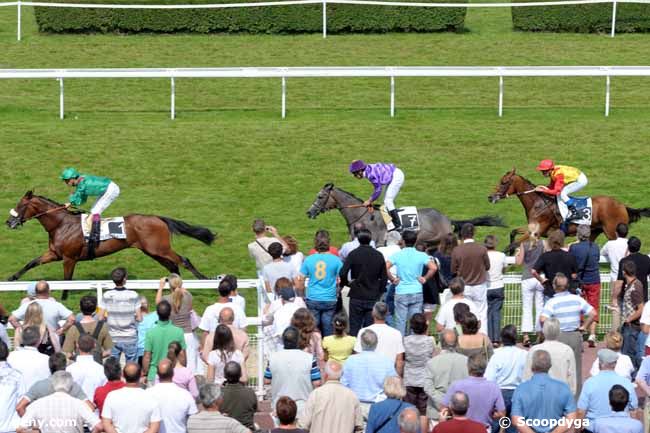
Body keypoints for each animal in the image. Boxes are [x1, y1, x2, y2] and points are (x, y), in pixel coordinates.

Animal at [5, 191, 215, 286]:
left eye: (21, 205)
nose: (9, 222)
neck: (61, 224)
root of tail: (158, 218)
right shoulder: (54, 254)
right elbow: (31, 262)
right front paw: (11, 277)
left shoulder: (69, 258)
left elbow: (67, 279)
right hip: (152, 251)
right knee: (173, 266)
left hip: (159, 249)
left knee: (184, 260)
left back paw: (204, 280)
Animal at [486, 169, 648, 248]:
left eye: (504, 182)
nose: (490, 197)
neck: (538, 203)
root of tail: (622, 205)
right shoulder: (534, 228)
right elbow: (513, 232)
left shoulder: (538, 230)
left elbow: (512, 244)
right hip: (594, 231)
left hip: (612, 231)